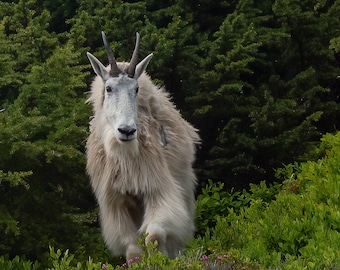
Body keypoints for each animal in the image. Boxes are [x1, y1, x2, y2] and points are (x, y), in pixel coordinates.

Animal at [85, 32, 201, 262]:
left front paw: (161, 261)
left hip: (183, 187)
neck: (124, 156)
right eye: (109, 88)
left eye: (136, 89)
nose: (127, 130)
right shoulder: (117, 204)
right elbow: (133, 249)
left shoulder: (157, 189)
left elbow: (154, 236)